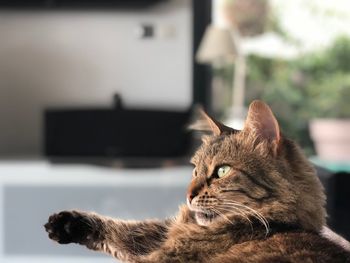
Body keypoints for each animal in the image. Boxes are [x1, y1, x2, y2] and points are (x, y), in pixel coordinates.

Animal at [44, 100, 350, 262]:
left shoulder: (164, 256)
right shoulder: (164, 231)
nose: (187, 195)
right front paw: (66, 223)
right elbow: (121, 227)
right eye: (194, 170)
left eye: (222, 171)